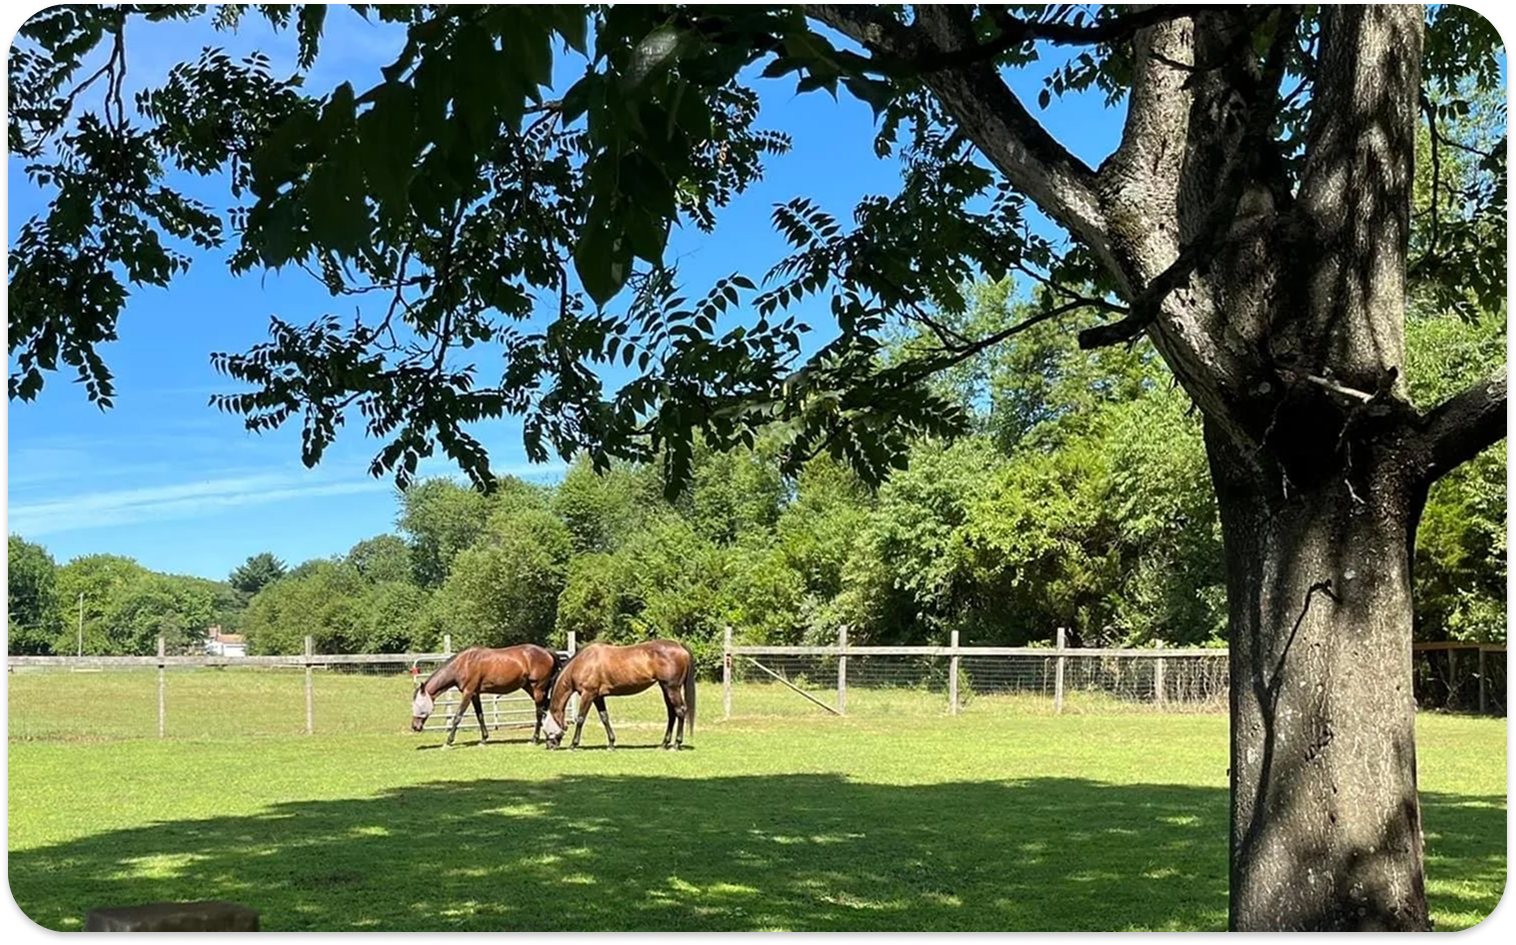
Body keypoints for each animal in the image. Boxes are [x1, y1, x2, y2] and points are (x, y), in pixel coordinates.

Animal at [410, 644, 562, 749]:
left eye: (418, 704)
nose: (415, 727)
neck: (463, 664)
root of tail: (547, 652)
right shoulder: (474, 694)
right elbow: (480, 716)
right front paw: (483, 739)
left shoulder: (468, 692)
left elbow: (458, 716)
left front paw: (448, 742)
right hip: (531, 688)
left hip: (537, 689)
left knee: (539, 712)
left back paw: (534, 740)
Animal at [540, 640, 696, 751]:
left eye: (545, 729)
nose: (549, 746)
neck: (582, 663)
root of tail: (680, 646)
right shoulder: (598, 697)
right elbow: (604, 718)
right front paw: (611, 744)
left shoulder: (588, 694)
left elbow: (580, 719)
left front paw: (573, 745)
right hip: (666, 688)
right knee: (672, 713)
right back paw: (664, 744)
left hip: (672, 688)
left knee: (680, 711)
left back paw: (676, 745)